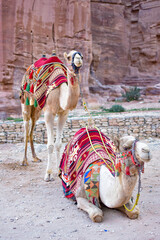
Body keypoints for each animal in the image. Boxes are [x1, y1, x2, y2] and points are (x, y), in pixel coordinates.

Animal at [19, 49, 83, 180]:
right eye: (69, 57)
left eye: (82, 55)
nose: (78, 59)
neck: (60, 93)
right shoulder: (49, 112)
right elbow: (50, 145)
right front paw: (48, 174)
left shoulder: (63, 113)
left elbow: (58, 144)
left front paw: (60, 172)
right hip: (25, 100)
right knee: (26, 126)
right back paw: (24, 161)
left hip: (37, 109)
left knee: (32, 126)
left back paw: (35, 158)